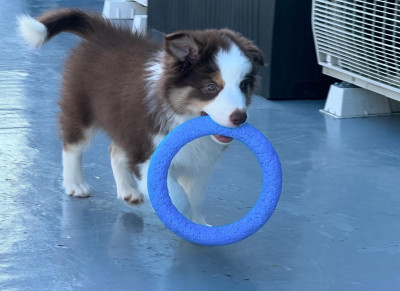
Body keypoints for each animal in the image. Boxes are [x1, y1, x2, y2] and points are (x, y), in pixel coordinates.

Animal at [18, 8, 264, 224]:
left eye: (244, 85)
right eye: (211, 87)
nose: (240, 118)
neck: (182, 117)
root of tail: (103, 31)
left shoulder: (199, 165)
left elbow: (195, 196)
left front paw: (199, 225)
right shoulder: (146, 153)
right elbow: (178, 195)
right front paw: (181, 217)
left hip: (124, 122)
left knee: (115, 150)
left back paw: (128, 191)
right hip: (82, 109)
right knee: (72, 145)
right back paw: (75, 185)